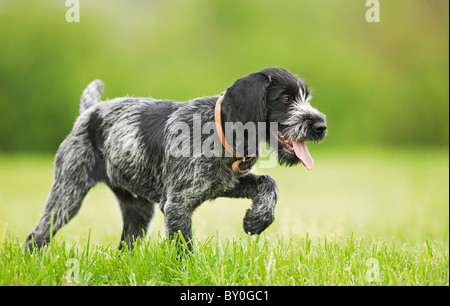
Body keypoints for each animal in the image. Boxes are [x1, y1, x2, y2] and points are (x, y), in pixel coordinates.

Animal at [24, 67, 326, 251]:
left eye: (306, 98)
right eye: (285, 98)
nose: (321, 126)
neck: (220, 129)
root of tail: (89, 112)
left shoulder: (225, 183)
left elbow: (269, 183)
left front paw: (257, 219)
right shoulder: (177, 206)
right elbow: (184, 250)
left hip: (138, 210)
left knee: (126, 246)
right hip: (68, 194)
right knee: (36, 236)